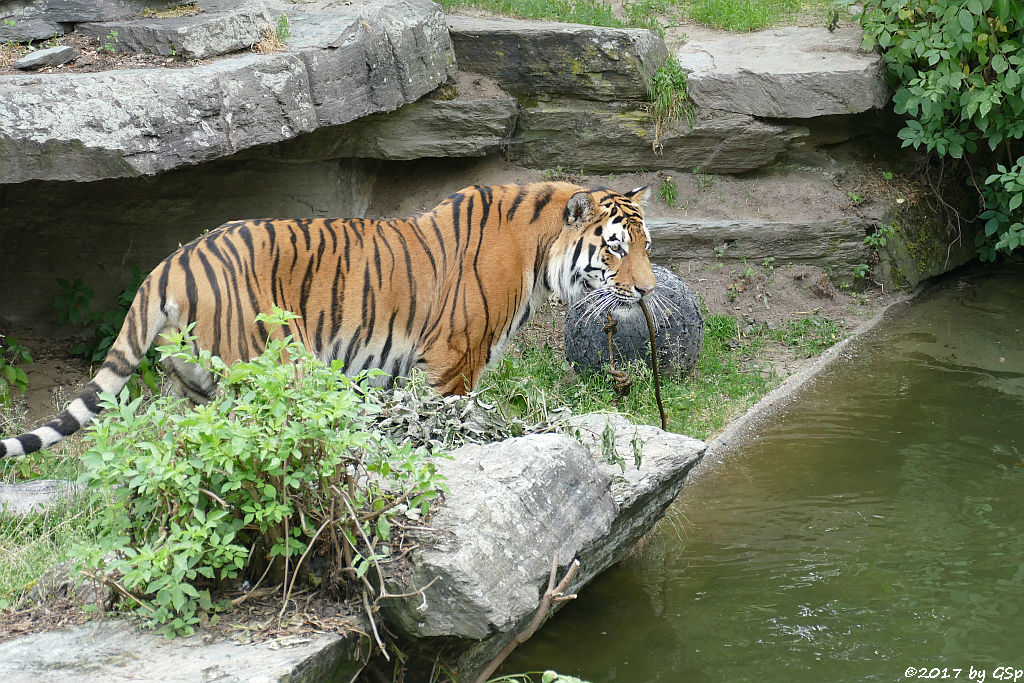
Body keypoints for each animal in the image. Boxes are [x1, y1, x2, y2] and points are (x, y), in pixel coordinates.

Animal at [2, 181, 655, 458]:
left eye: (647, 245)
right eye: (615, 249)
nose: (649, 288)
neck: (538, 257)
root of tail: (169, 263)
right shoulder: (451, 365)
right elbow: (451, 422)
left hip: (192, 390)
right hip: (271, 371)